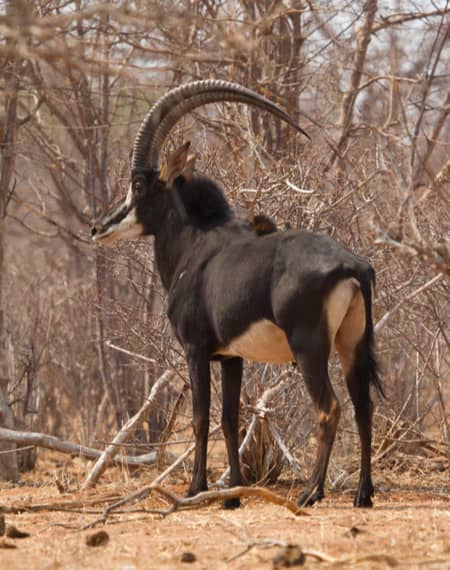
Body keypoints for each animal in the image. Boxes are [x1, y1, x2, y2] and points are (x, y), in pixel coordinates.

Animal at [92, 79, 384, 506]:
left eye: (139, 184)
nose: (98, 227)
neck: (194, 244)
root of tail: (353, 265)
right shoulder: (232, 357)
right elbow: (229, 419)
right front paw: (233, 492)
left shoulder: (195, 350)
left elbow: (200, 418)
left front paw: (197, 488)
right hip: (352, 345)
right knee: (364, 408)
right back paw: (363, 494)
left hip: (309, 348)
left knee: (329, 409)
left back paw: (310, 492)